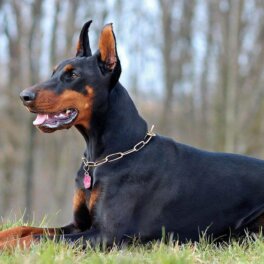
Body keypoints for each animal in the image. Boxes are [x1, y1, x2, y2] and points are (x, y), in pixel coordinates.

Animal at [0, 20, 264, 250]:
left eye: (73, 75)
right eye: (53, 72)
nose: (24, 96)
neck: (104, 156)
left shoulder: (106, 234)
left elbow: (33, 238)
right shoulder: (78, 225)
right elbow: (23, 230)